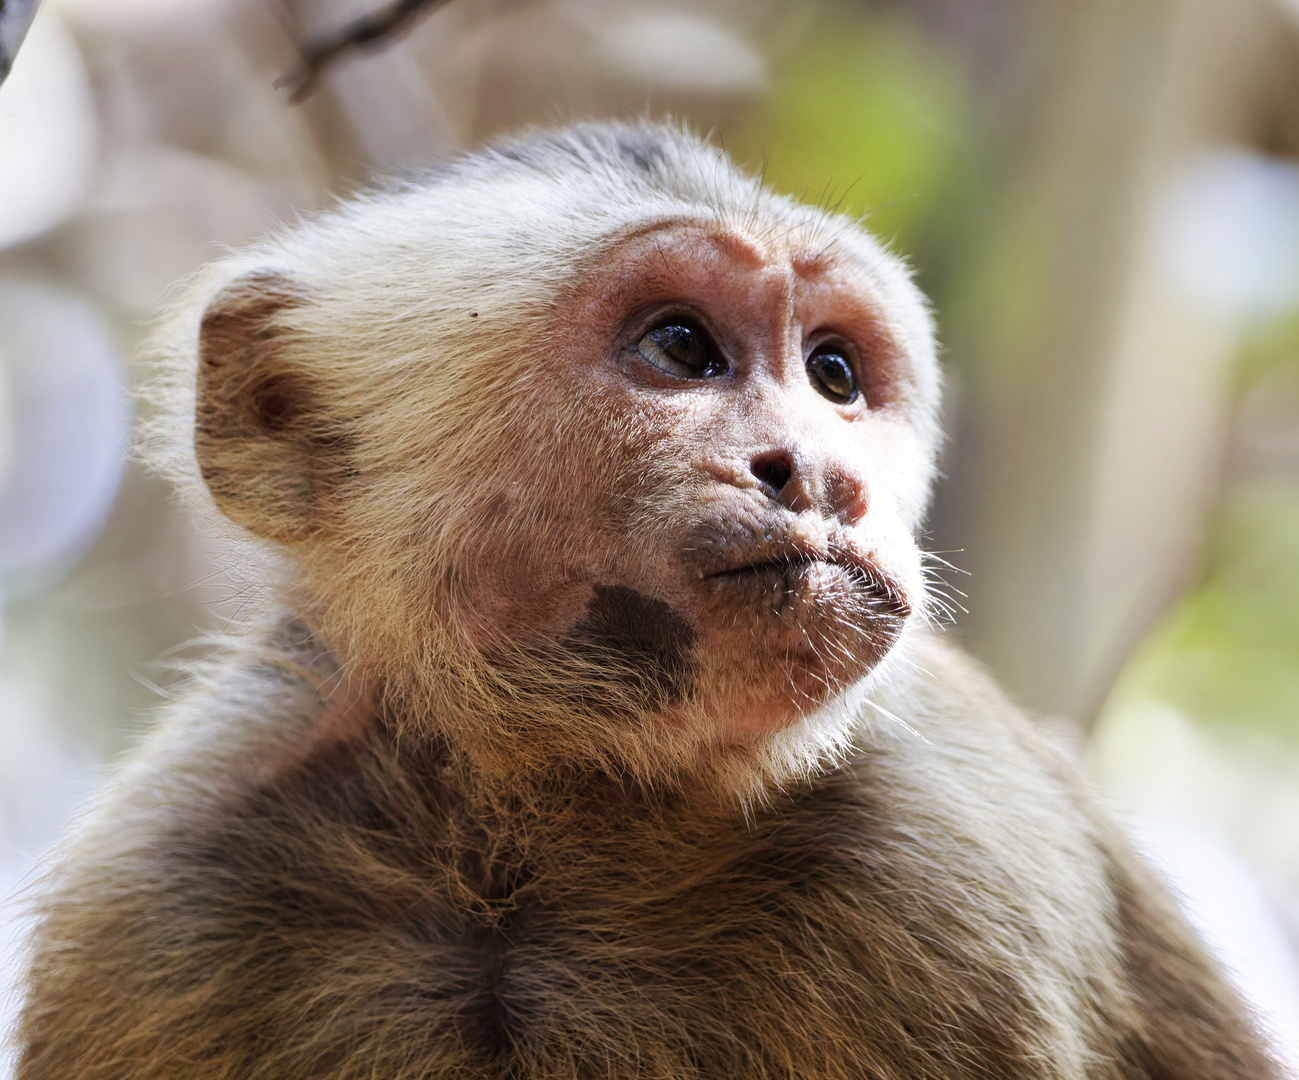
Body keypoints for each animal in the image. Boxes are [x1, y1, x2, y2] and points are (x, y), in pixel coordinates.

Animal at [10, 122, 1283, 1076]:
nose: (821, 475)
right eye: (681, 347)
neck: (535, 823)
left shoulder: (955, 879)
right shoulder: (157, 894)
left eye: (833, 374)